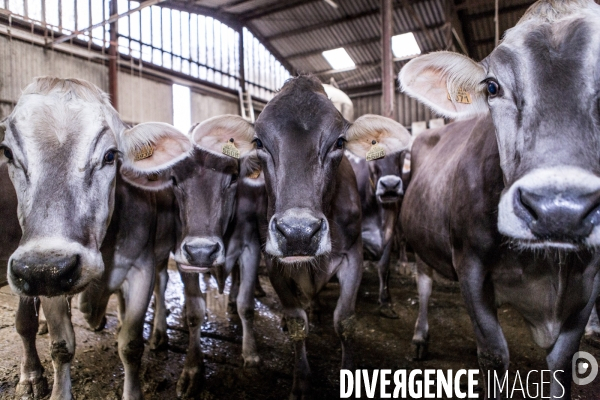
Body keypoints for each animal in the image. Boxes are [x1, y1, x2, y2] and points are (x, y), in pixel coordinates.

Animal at [191, 76, 412, 398]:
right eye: (259, 143)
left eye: (339, 142)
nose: (298, 233)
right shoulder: (273, 263)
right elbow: (297, 322)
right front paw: (300, 382)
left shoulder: (353, 256)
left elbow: (345, 320)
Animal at [400, 1, 600, 398]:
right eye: (492, 87)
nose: (559, 208)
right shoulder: (470, 264)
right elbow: (493, 355)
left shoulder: (590, 281)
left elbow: (562, 365)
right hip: (421, 242)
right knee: (425, 284)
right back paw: (419, 338)